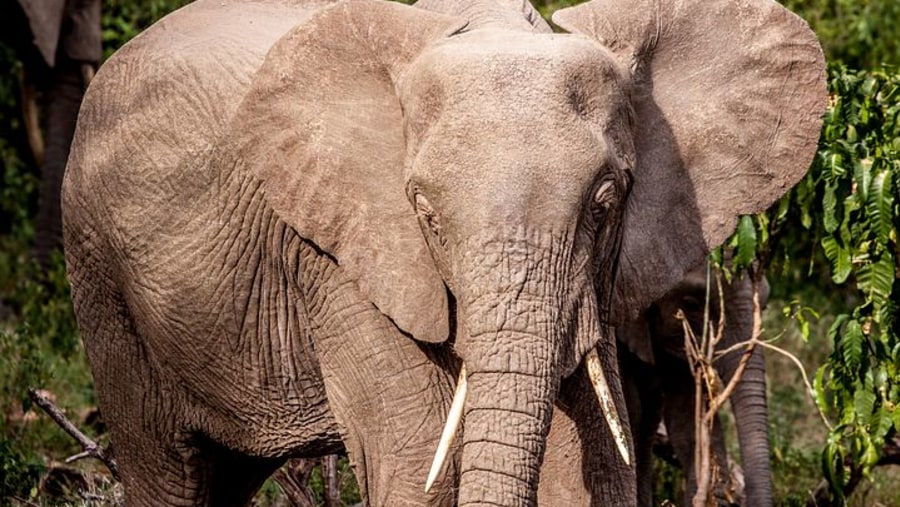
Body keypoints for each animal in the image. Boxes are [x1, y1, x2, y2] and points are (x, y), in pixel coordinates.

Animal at [59, 0, 828, 506]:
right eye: (424, 211)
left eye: (605, 203)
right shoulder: (342, 259)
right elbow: (416, 469)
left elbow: (594, 474)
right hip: (101, 278)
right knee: (169, 470)